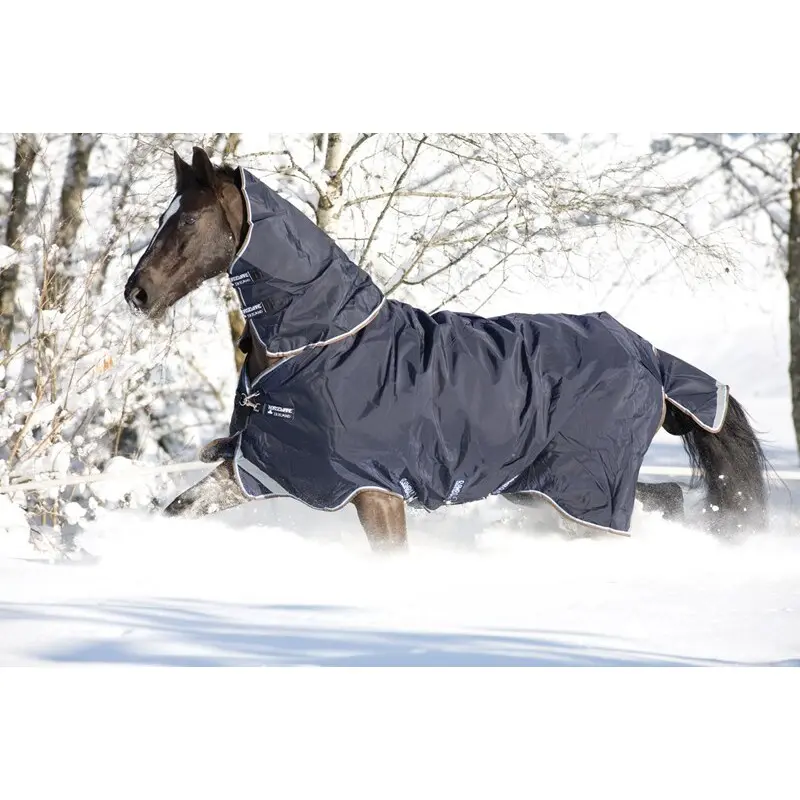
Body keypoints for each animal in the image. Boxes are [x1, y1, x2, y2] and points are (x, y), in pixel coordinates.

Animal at [123, 146, 768, 552]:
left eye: (186, 222)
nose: (137, 293)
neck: (318, 346)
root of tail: (649, 357)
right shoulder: (260, 468)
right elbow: (181, 508)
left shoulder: (376, 494)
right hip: (545, 491)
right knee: (667, 498)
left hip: (577, 490)